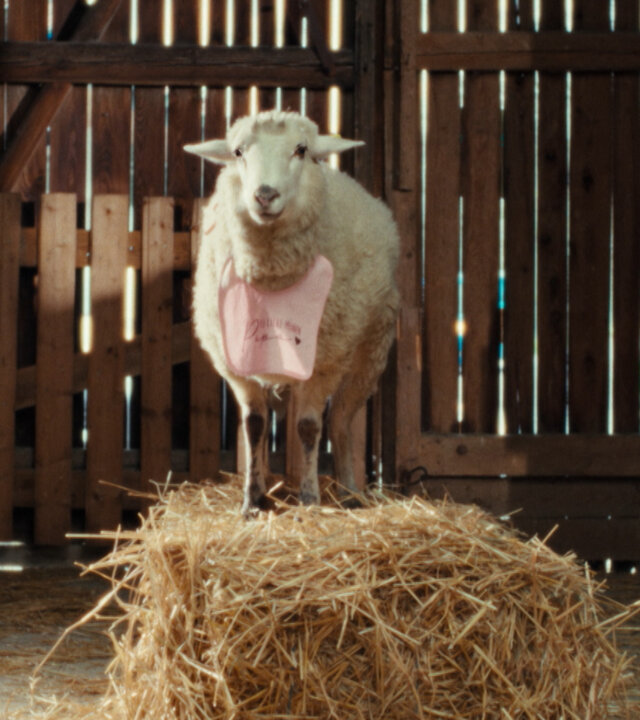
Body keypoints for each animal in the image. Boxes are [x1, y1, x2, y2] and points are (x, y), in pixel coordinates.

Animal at [185, 110, 399, 514]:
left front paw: (310, 499)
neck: (271, 278)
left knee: (341, 421)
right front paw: (251, 501)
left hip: (371, 347)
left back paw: (349, 491)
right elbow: (254, 425)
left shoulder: (326, 358)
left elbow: (310, 427)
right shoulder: (233, 361)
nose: (265, 194)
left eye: (300, 150)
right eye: (238, 152)